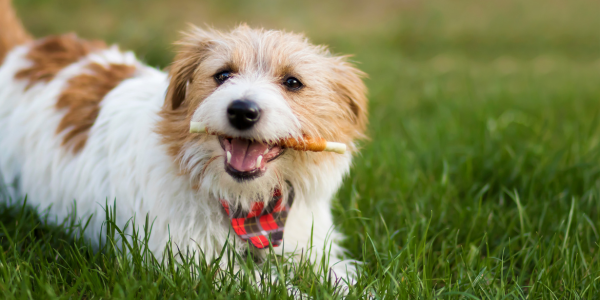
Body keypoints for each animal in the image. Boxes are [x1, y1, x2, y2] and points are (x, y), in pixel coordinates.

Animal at [0, 0, 366, 282]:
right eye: (222, 75)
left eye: (292, 82)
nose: (242, 111)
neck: (249, 207)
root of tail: (23, 51)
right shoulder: (195, 266)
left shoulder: (314, 249)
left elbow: (345, 279)